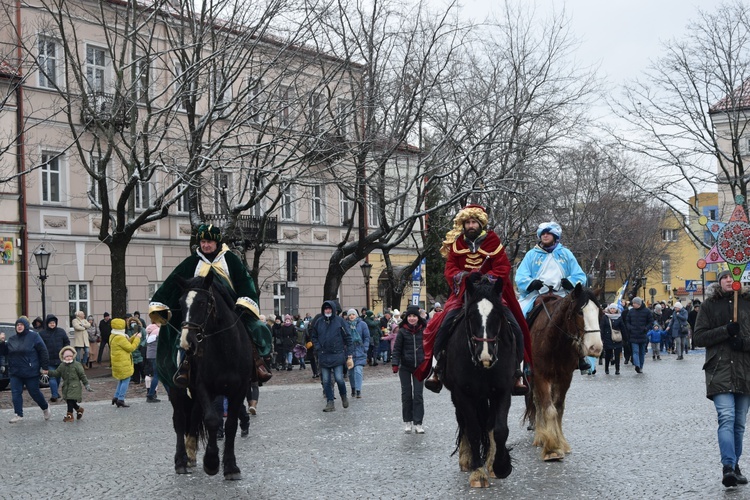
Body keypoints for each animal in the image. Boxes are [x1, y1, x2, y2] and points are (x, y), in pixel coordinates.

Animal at [169, 274, 254, 480]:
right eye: (181, 304)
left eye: (201, 302)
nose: (186, 342)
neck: (226, 350)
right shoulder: (203, 387)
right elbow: (212, 420)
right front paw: (212, 462)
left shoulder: (239, 390)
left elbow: (230, 425)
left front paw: (230, 466)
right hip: (177, 390)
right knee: (180, 420)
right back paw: (181, 460)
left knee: (193, 417)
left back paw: (191, 454)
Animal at [444, 274, 520, 488]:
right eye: (470, 316)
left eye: (498, 314)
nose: (485, 355)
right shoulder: (463, 393)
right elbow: (474, 430)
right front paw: (478, 472)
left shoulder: (502, 391)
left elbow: (500, 429)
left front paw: (501, 466)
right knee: (464, 421)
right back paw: (467, 458)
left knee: (489, 424)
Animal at [524, 286, 608, 460]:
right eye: (580, 312)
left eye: (600, 313)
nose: (596, 348)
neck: (554, 343)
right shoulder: (541, 376)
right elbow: (549, 409)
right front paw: (552, 448)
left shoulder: (564, 378)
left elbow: (558, 409)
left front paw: (560, 441)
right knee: (538, 403)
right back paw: (541, 436)